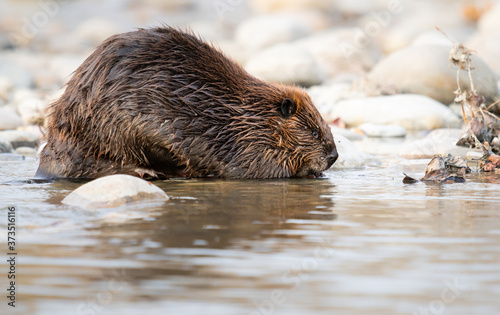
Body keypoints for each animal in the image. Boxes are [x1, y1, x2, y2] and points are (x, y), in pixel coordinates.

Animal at [36, 26, 340, 180]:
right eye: (314, 132)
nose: (334, 157)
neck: (246, 115)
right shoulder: (244, 146)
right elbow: (263, 170)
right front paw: (310, 173)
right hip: (111, 128)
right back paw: (150, 172)